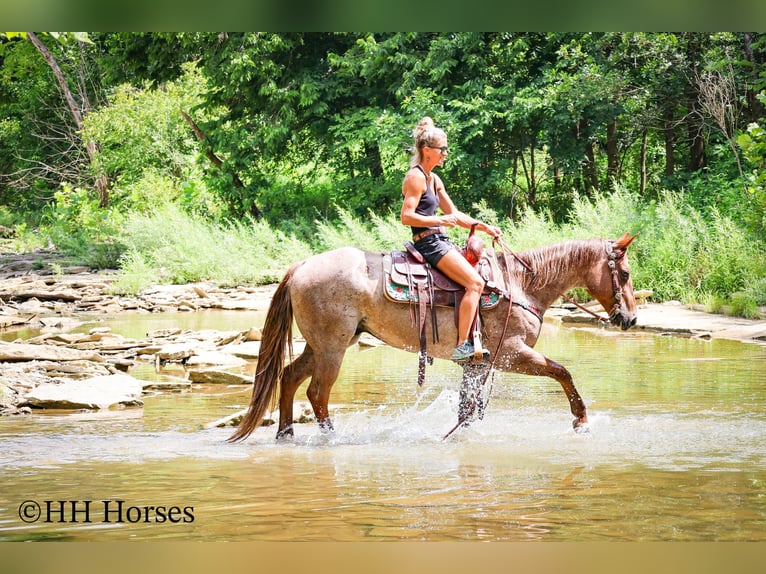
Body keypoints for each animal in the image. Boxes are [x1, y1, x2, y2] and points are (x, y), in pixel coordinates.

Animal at [228, 233, 638, 442]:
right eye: (626, 273)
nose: (630, 319)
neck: (521, 286)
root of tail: (302, 266)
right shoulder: (513, 354)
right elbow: (562, 371)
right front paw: (581, 420)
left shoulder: (479, 365)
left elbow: (467, 410)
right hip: (332, 348)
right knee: (317, 392)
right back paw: (330, 437)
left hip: (323, 344)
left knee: (289, 378)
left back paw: (286, 433)